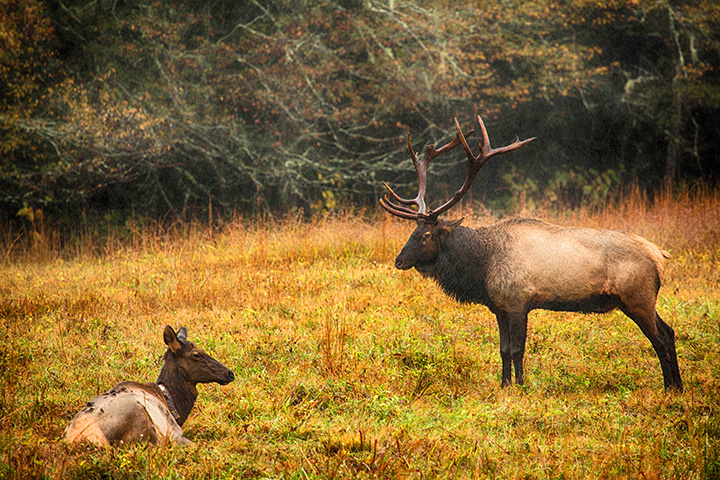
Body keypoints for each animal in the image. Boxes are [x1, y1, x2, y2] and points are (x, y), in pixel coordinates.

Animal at [380, 115, 684, 390]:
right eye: (412, 231)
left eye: (426, 235)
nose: (399, 260)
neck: (482, 268)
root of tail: (659, 255)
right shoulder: (499, 307)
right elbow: (503, 349)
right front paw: (504, 386)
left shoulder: (519, 301)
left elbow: (517, 349)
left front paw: (521, 386)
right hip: (640, 299)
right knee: (669, 332)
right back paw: (678, 386)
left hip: (637, 296)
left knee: (659, 338)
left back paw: (669, 387)